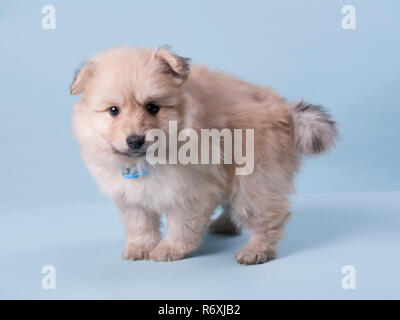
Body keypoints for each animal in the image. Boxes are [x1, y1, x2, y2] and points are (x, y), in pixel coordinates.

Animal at [71, 45, 338, 264]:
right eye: (113, 110)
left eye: (152, 107)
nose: (135, 140)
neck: (146, 160)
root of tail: (285, 112)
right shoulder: (130, 198)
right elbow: (139, 224)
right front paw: (140, 247)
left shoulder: (189, 192)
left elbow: (180, 225)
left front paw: (169, 248)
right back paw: (225, 224)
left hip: (254, 180)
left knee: (267, 216)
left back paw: (257, 250)